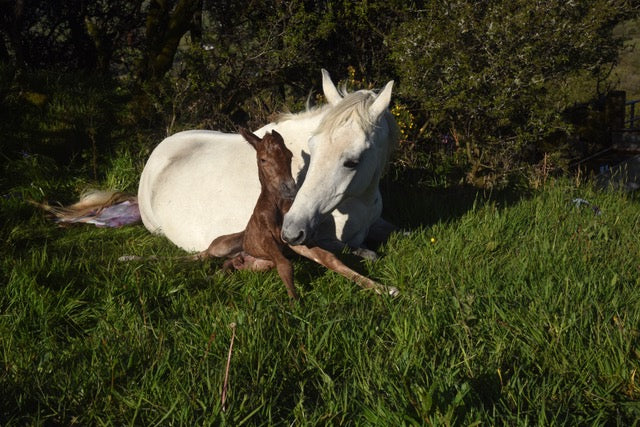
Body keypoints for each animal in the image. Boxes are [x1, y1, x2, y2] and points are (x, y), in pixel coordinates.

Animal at [137, 69, 399, 257]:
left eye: (352, 162)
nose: (291, 231)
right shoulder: (326, 241)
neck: (362, 199)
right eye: (312, 147)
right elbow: (366, 252)